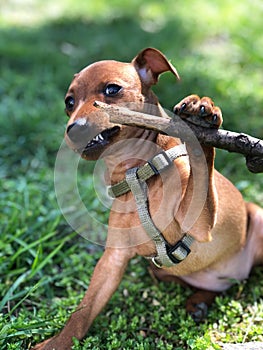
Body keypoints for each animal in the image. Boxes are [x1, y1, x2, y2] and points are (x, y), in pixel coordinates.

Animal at [33, 47, 263, 348]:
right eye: (69, 103)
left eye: (112, 89)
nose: (74, 128)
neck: (138, 174)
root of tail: (235, 276)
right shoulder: (113, 259)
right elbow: (82, 311)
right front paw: (58, 342)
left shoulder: (200, 226)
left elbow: (202, 162)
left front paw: (202, 118)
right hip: (163, 271)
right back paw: (198, 302)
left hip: (257, 218)